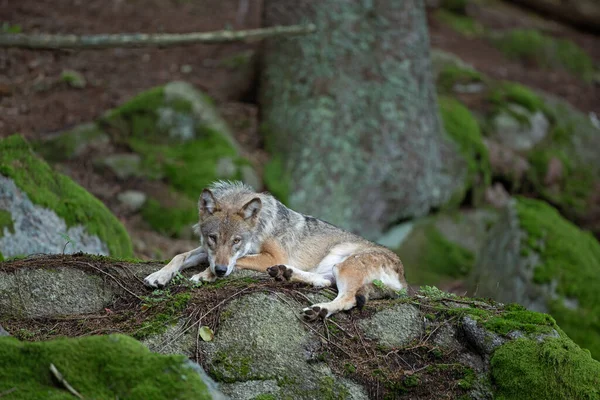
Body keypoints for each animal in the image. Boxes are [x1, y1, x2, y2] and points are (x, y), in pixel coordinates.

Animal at [144, 181, 408, 322]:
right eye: (213, 238)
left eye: (236, 241)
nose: (219, 271)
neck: (259, 227)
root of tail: (403, 279)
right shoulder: (207, 251)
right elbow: (179, 256)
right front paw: (158, 276)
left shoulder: (270, 256)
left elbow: (239, 260)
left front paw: (204, 275)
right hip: (333, 267)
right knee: (324, 282)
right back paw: (286, 274)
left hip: (345, 264)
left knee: (348, 298)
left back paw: (318, 310)